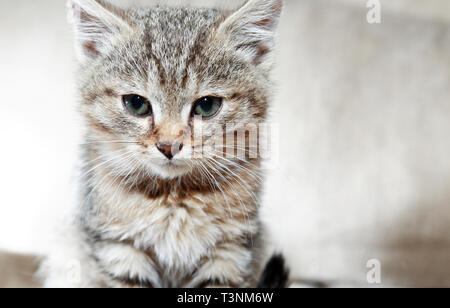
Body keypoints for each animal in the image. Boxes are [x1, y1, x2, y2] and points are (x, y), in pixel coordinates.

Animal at [43, 0, 288, 288]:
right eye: (136, 104)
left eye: (207, 106)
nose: (169, 145)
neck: (174, 196)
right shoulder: (118, 247)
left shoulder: (231, 249)